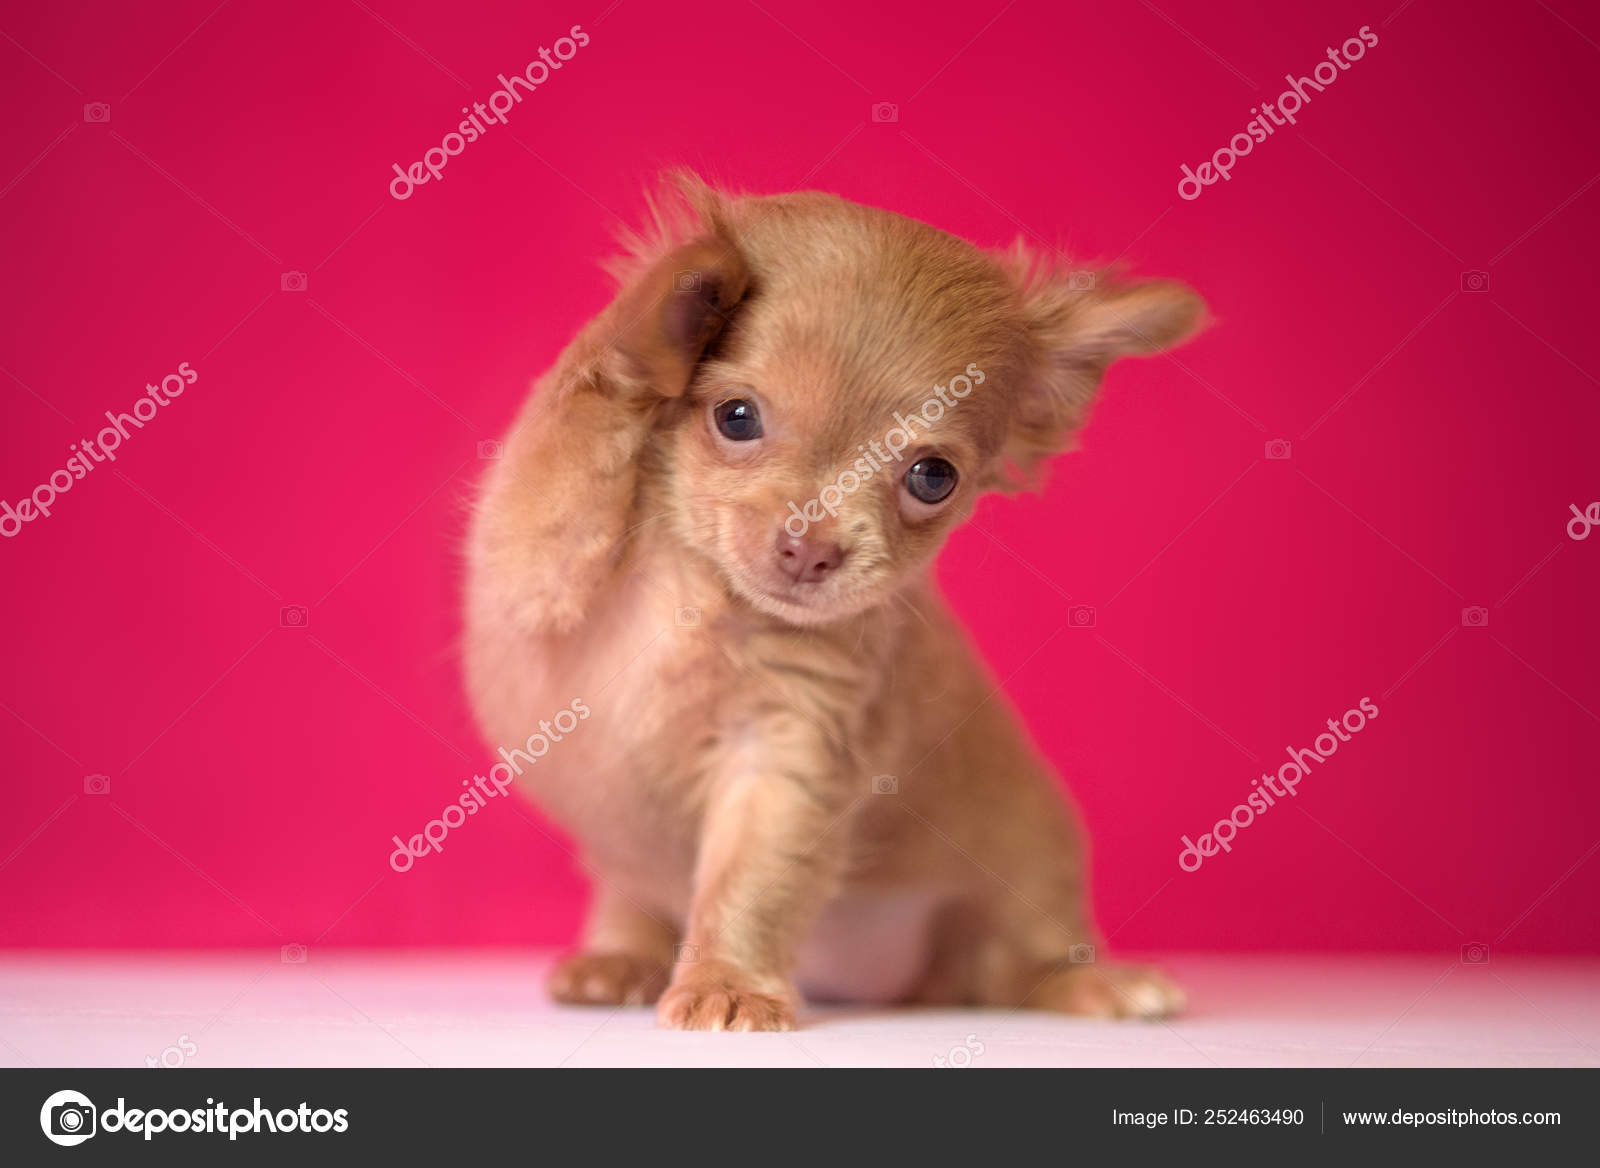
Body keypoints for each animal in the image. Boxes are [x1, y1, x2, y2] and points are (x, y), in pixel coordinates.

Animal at [467, 172, 1203, 1030]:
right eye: (736, 417)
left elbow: (751, 882)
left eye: (932, 478)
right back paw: (620, 959)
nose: (809, 548)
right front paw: (670, 311)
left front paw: (728, 983)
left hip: (1030, 873)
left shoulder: (785, 753)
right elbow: (584, 411)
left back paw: (1095, 985)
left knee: (1016, 968)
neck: (709, 599)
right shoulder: (522, 570)